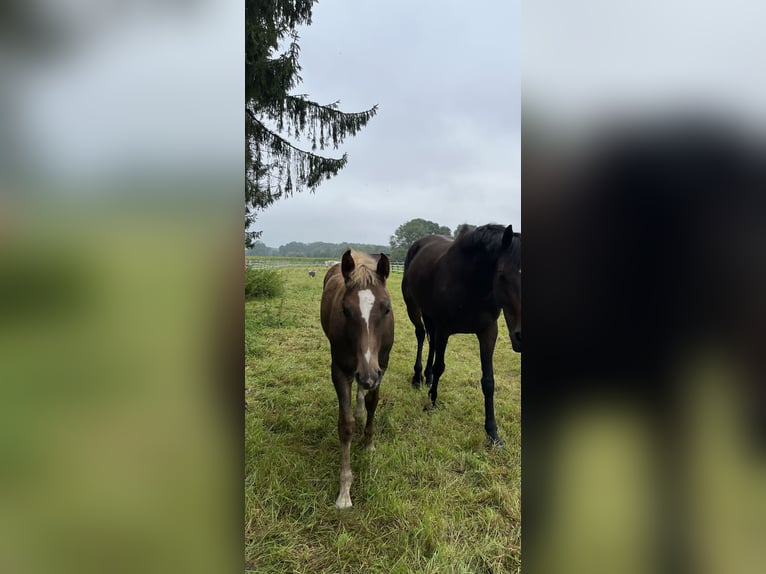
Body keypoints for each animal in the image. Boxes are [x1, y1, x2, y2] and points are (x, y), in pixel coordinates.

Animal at [320, 249, 394, 509]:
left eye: (386, 309)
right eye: (345, 310)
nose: (368, 374)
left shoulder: (382, 365)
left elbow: (373, 402)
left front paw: (369, 443)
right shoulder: (340, 371)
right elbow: (346, 425)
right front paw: (344, 491)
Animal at [401, 224, 521, 446]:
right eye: (502, 275)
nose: (520, 337)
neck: (471, 284)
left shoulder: (488, 332)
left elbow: (488, 381)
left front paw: (493, 433)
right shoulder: (445, 329)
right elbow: (440, 366)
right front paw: (431, 402)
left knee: (430, 342)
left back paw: (427, 377)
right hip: (413, 306)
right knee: (421, 335)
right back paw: (418, 377)